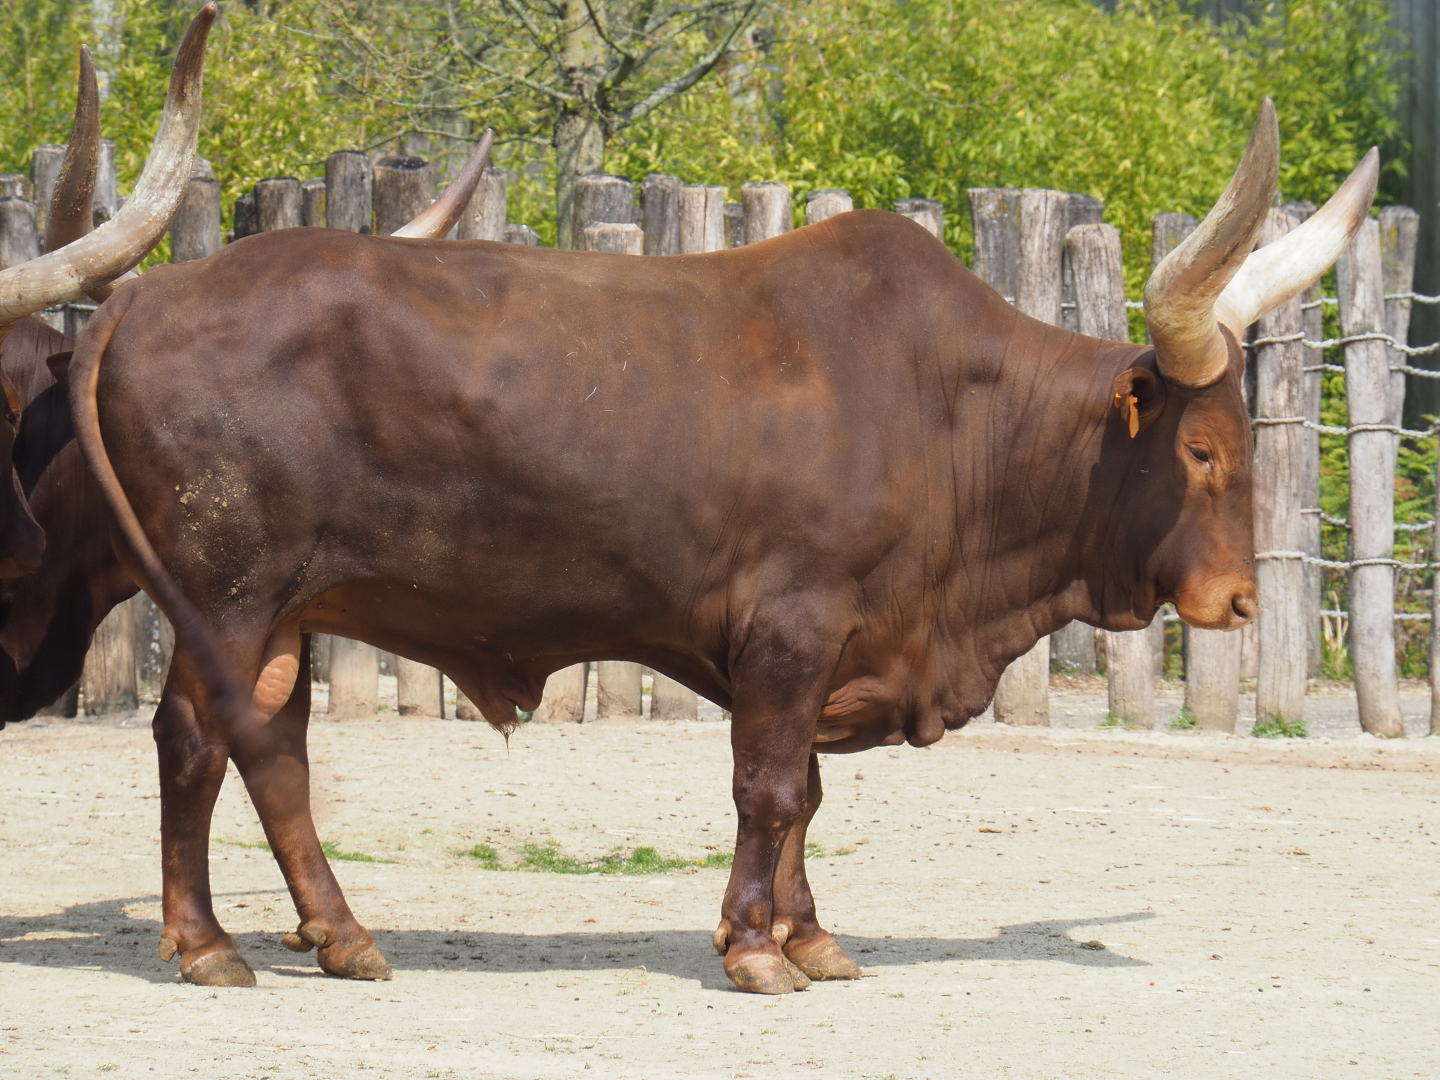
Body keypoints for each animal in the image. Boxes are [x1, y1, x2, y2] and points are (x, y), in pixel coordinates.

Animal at [60, 100, 1375, 993]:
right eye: (1199, 450)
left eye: (1243, 441)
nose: (1238, 603)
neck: (949, 410)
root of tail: (149, 294)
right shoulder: (791, 627)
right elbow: (772, 785)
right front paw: (754, 946)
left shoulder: (831, 644)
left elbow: (806, 797)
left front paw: (810, 932)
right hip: (229, 595)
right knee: (201, 744)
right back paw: (209, 944)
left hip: (277, 608)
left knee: (263, 747)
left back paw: (334, 935)